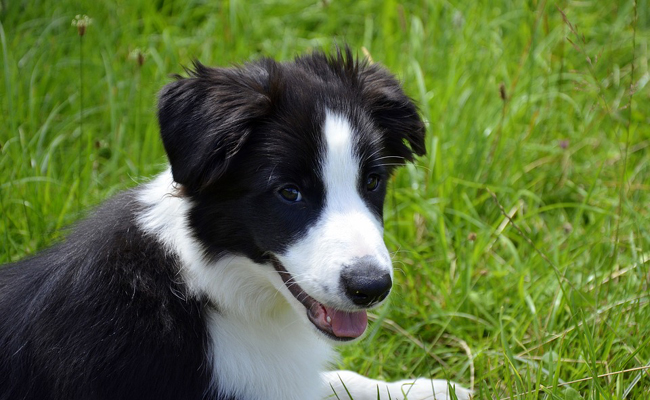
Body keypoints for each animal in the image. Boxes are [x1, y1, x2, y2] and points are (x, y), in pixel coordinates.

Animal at [0, 49, 468, 400]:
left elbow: (340, 381)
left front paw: (428, 389)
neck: (205, 288)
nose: (371, 288)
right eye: (289, 192)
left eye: (372, 181)